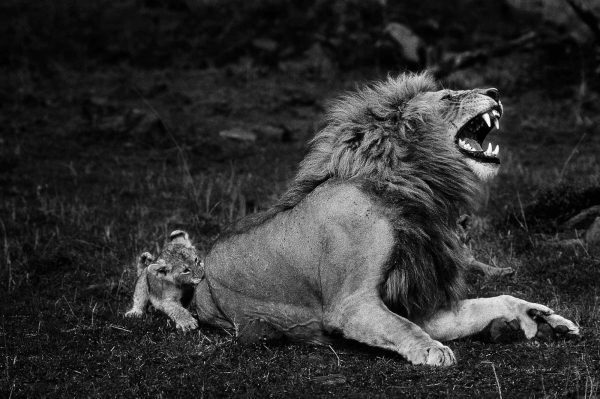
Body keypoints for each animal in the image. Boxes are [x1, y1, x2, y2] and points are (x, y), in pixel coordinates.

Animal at [192, 73, 576, 368]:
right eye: (449, 96)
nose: (495, 92)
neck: (420, 185)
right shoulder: (350, 304)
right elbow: (402, 328)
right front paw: (432, 350)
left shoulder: (419, 301)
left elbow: (498, 299)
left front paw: (542, 318)